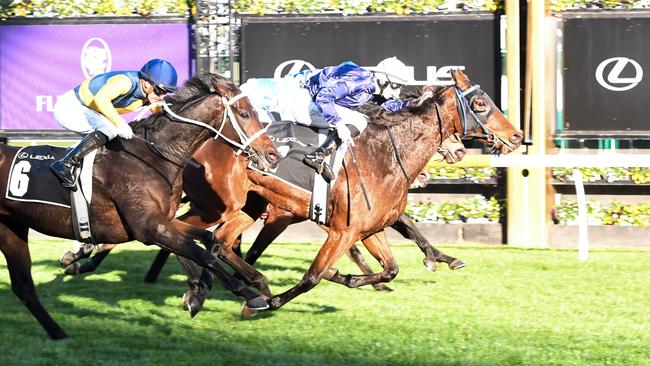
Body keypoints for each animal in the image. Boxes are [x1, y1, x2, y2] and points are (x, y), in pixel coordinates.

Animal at [0, 73, 278, 338]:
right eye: (244, 113)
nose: (273, 155)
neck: (154, 157)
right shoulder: (148, 227)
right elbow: (200, 253)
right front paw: (251, 295)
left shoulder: (163, 221)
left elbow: (206, 243)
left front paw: (197, 294)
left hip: (12, 229)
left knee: (23, 286)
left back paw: (57, 332)